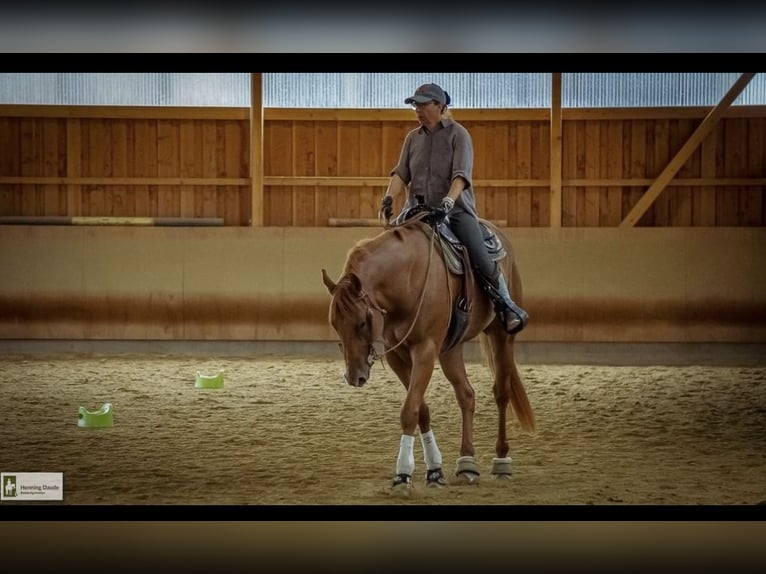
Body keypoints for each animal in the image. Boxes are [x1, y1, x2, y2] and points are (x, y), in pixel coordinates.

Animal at [321, 208, 535, 490]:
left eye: (362, 322)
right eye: (334, 323)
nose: (354, 376)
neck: (407, 279)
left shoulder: (425, 350)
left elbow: (409, 410)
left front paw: (403, 474)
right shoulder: (397, 356)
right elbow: (420, 409)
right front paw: (434, 470)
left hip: (500, 336)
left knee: (501, 392)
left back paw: (501, 461)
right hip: (451, 349)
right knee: (467, 395)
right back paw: (467, 462)